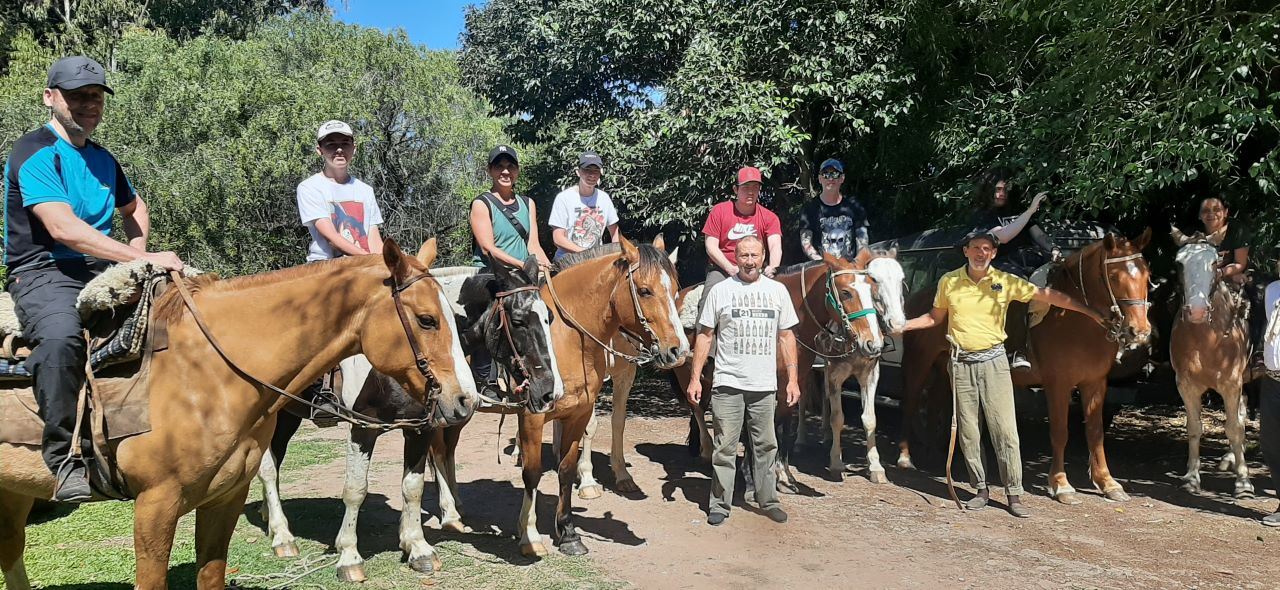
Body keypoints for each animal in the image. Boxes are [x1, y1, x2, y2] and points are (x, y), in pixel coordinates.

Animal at [254, 254, 560, 578]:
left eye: (549, 319)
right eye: (518, 320)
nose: (549, 392)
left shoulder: (420, 428)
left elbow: (412, 487)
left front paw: (416, 546)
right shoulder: (363, 428)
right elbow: (355, 489)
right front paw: (349, 556)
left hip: (288, 417)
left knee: (275, 460)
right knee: (268, 468)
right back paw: (282, 536)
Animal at [430, 235, 691, 555]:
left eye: (676, 290)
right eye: (644, 290)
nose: (678, 351)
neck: (567, 338)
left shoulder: (579, 411)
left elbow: (566, 468)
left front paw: (568, 533)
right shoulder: (532, 416)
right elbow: (532, 473)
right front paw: (530, 536)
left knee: (448, 450)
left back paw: (457, 506)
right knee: (436, 452)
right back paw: (449, 514)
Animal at [1172, 227, 1249, 494]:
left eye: (1215, 262)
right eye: (1179, 263)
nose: (1196, 311)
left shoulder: (1231, 384)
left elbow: (1234, 428)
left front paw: (1243, 481)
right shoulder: (1186, 385)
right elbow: (1194, 428)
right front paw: (1191, 477)